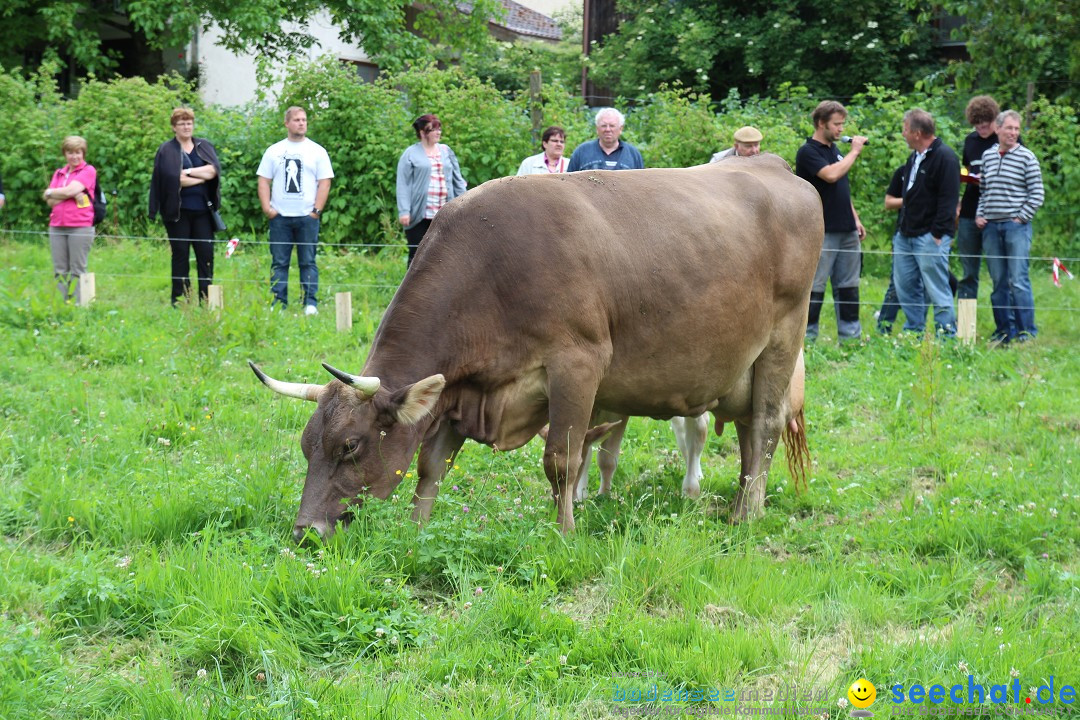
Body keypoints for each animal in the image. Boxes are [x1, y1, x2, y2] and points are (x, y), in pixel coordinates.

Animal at [250, 157, 816, 539]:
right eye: (306, 445)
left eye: (350, 446)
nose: (305, 532)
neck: (492, 269)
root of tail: (772, 165)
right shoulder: (462, 390)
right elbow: (431, 465)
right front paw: (417, 530)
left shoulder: (578, 365)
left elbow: (561, 460)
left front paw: (564, 532)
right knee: (747, 436)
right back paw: (742, 502)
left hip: (782, 342)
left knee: (764, 427)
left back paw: (745, 516)